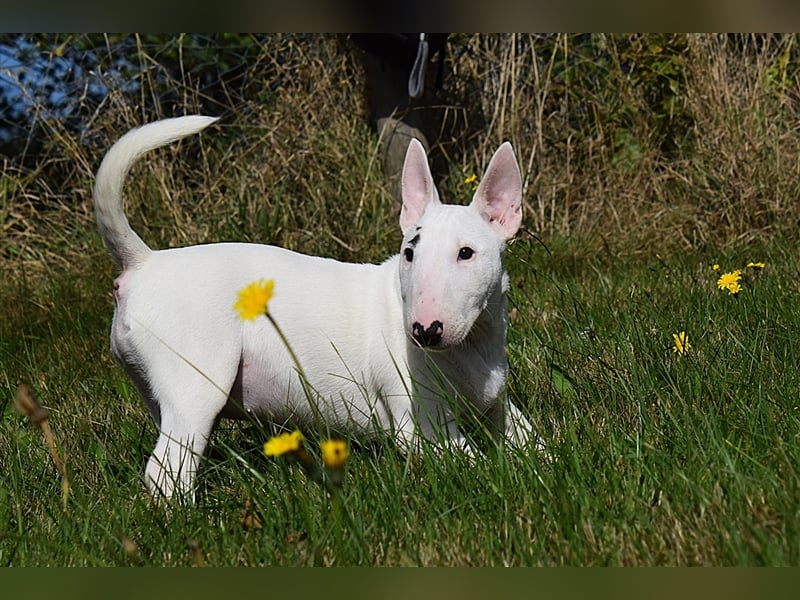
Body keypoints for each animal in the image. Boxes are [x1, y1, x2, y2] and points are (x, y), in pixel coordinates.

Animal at [97, 116, 540, 496]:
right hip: (196, 383)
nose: (424, 331)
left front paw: (540, 463)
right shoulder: (422, 425)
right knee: (166, 471)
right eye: (409, 253)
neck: (471, 346)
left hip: (159, 390)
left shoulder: (497, 400)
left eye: (466, 253)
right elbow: (473, 462)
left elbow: (529, 439)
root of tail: (143, 262)